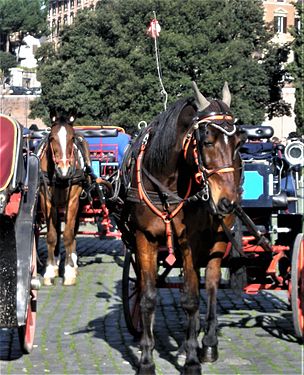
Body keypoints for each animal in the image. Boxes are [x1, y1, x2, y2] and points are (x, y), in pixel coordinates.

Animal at [38, 114, 92, 284]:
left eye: (71, 138)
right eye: (52, 137)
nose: (64, 170)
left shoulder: (73, 201)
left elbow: (68, 235)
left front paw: (68, 271)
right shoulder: (46, 201)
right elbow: (51, 236)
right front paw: (49, 270)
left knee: (73, 230)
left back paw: (73, 262)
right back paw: (56, 262)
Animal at [117, 82, 246, 375]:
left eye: (238, 143)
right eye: (207, 141)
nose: (227, 201)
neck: (165, 186)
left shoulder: (191, 242)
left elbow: (191, 299)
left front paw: (191, 360)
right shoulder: (144, 239)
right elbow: (147, 296)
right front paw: (146, 359)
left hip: (219, 238)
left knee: (211, 285)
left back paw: (207, 343)